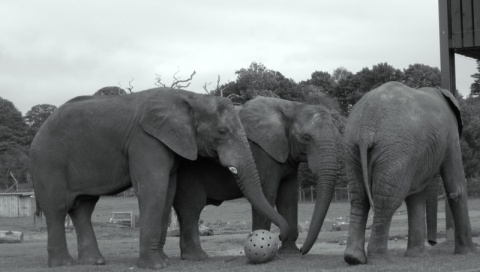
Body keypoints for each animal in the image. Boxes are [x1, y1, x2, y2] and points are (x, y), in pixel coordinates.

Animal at [31, 88, 288, 268]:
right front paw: (155, 266)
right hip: (48, 163)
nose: (278, 237)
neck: (190, 97)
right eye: (222, 132)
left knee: (83, 208)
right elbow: (154, 187)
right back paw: (64, 264)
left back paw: (94, 262)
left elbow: (168, 190)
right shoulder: (146, 140)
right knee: (57, 208)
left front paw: (164, 261)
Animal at [169, 95, 338, 260]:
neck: (292, 107)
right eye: (306, 137)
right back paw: (196, 257)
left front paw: (291, 254)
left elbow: (288, 198)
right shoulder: (263, 153)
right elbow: (268, 193)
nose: (303, 250)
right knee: (192, 206)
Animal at [342, 82, 476, 264]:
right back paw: (382, 259)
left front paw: (417, 256)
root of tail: (365, 128)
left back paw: (353, 258)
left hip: (353, 147)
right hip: (395, 150)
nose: (433, 242)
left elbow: (416, 196)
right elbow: (457, 188)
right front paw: (469, 253)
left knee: (359, 197)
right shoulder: (451, 137)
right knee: (387, 200)